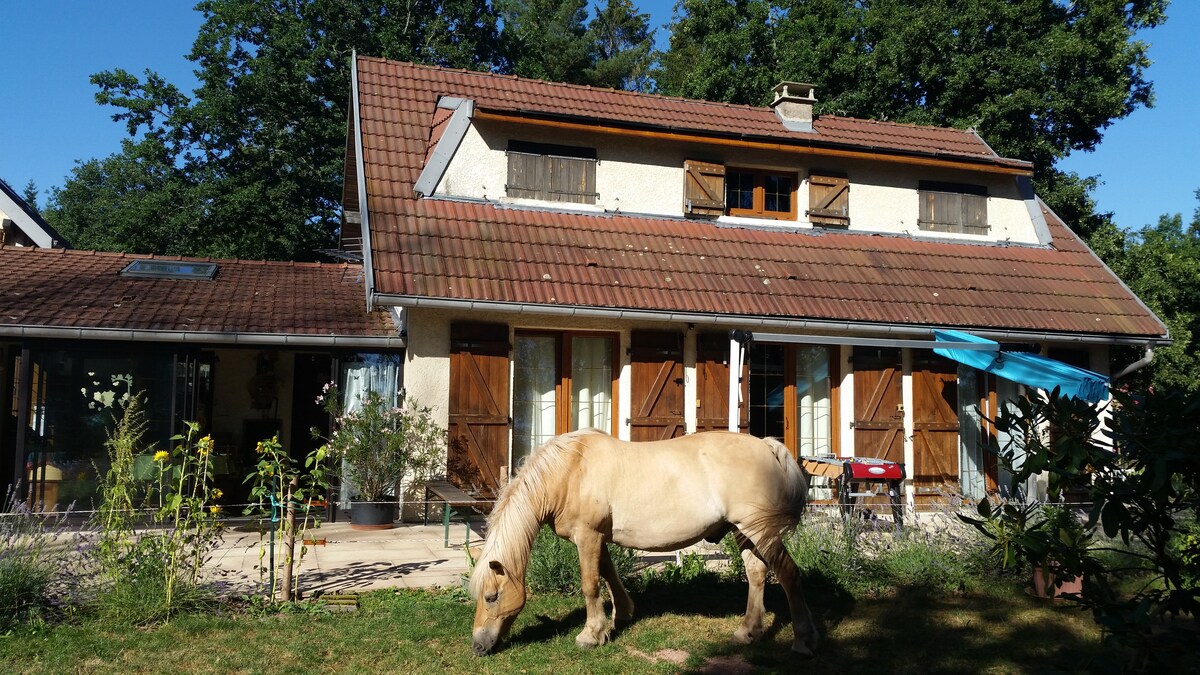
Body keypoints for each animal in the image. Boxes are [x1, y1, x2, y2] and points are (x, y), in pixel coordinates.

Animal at [465, 427, 816, 653]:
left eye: (491, 596)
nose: (478, 646)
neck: (568, 472)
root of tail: (767, 445)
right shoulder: (598, 538)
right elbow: (609, 575)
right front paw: (619, 617)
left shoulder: (587, 536)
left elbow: (590, 583)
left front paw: (590, 635)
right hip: (743, 530)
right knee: (756, 575)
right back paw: (747, 632)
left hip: (760, 531)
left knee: (788, 575)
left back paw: (803, 641)